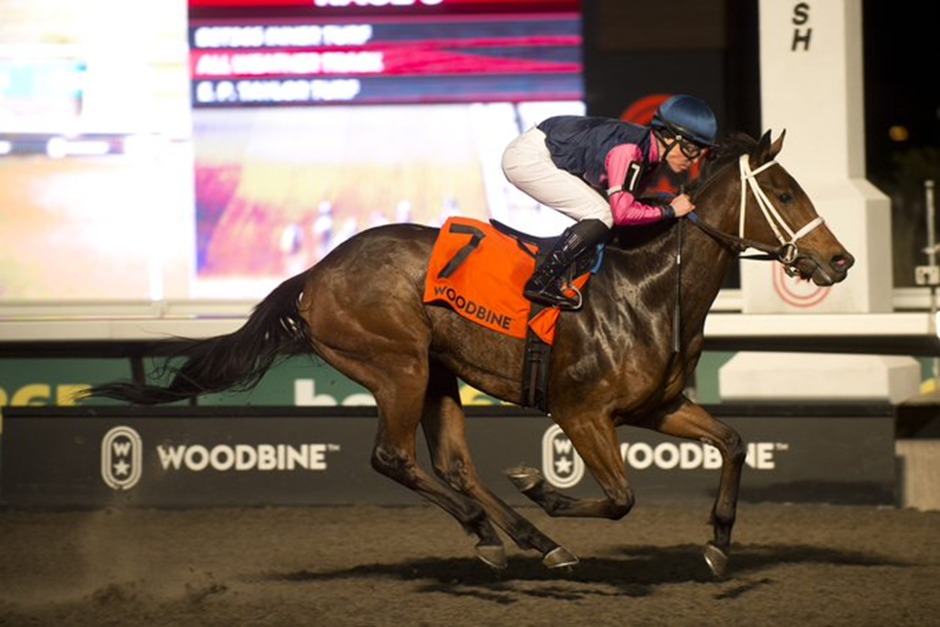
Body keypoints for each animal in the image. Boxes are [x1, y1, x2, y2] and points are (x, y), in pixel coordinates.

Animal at [84, 129, 854, 578]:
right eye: (785, 191)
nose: (840, 260)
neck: (650, 289)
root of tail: (316, 274)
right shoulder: (581, 412)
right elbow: (621, 496)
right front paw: (545, 487)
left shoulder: (657, 407)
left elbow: (735, 441)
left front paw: (719, 542)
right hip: (398, 366)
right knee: (393, 458)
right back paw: (504, 531)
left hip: (438, 375)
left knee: (454, 463)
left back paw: (525, 539)